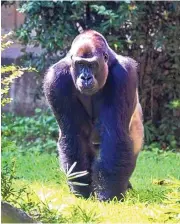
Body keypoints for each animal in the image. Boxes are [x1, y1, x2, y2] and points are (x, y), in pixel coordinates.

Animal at [43, 30, 143, 201]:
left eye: (91, 65)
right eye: (80, 64)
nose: (85, 77)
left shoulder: (123, 75)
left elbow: (114, 135)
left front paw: (109, 194)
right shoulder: (55, 79)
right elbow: (73, 134)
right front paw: (82, 190)